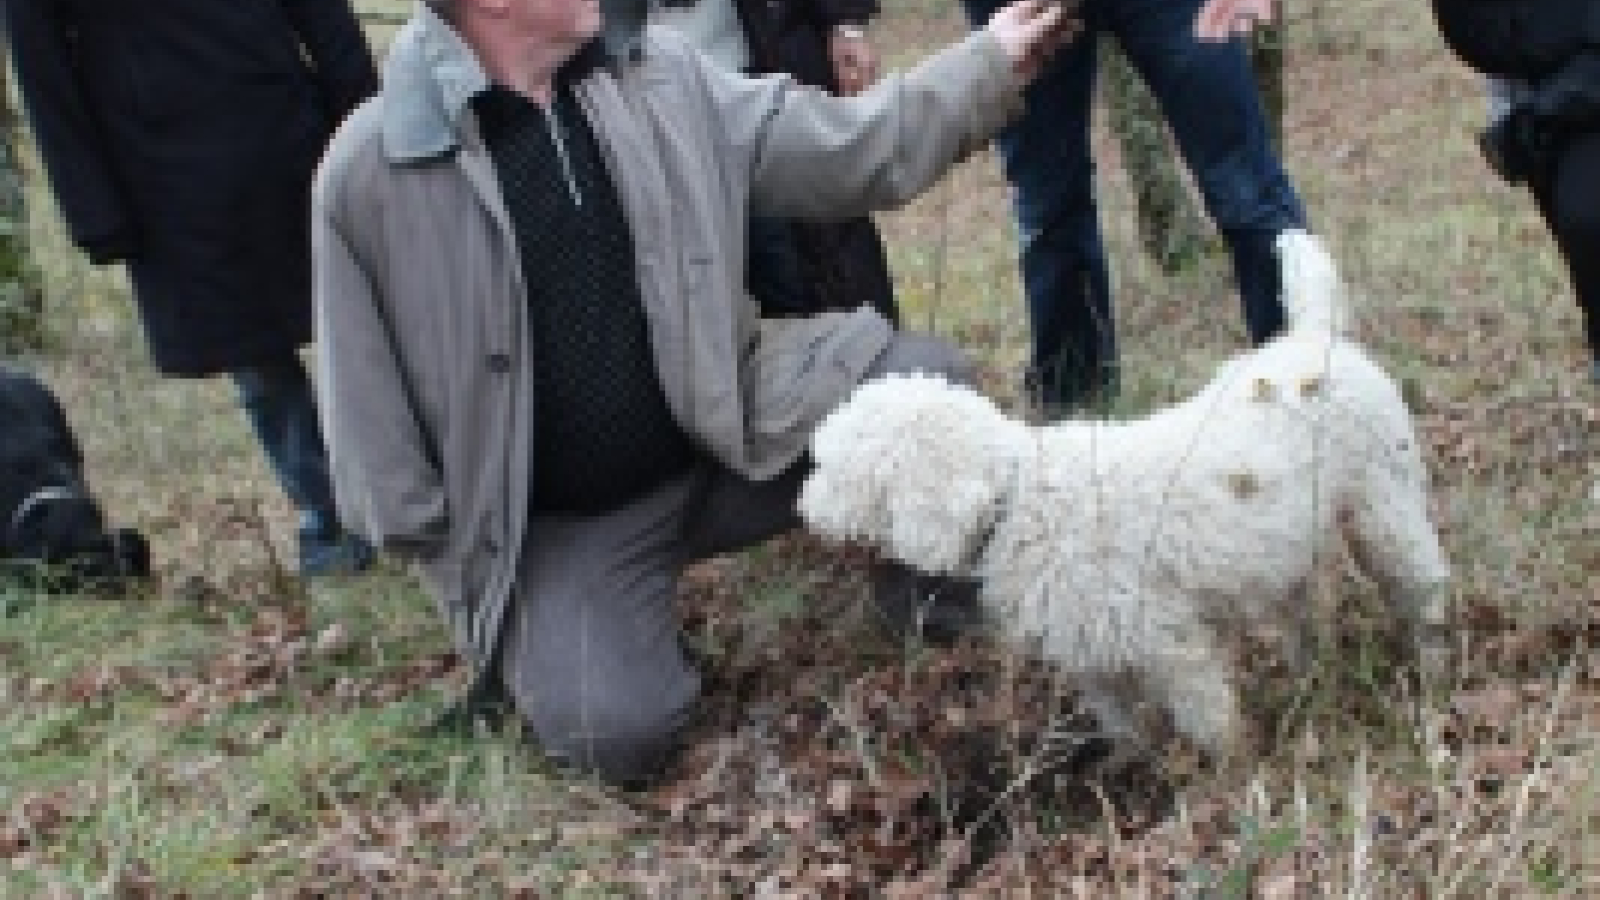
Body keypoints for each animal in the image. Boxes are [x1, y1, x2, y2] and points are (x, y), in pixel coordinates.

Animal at [800, 230, 1452, 755]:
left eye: (837, 467)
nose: (804, 508)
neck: (1018, 502)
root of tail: (1315, 340)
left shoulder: (1171, 645)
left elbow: (1209, 723)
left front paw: (1225, 780)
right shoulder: (1091, 651)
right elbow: (1121, 722)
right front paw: (1135, 767)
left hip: (1386, 509)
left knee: (1421, 587)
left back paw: (1433, 666)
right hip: (1289, 549)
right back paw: (1306, 680)